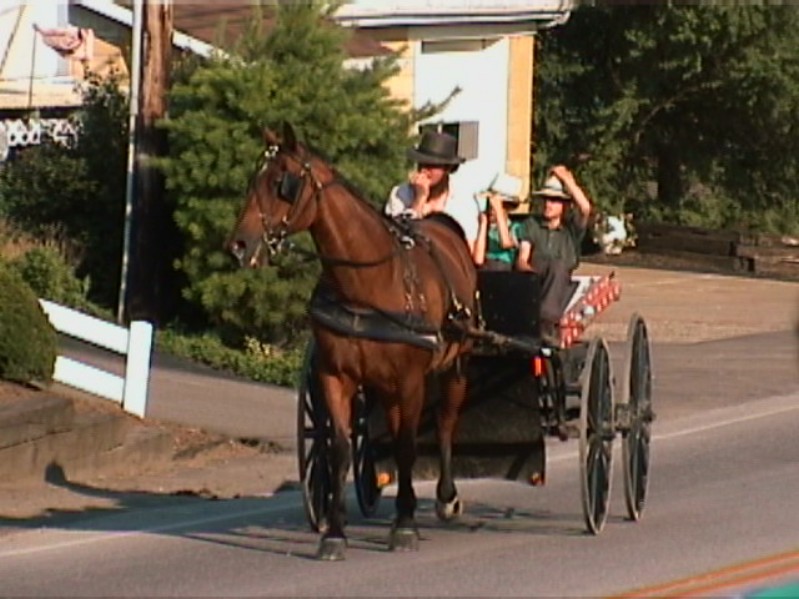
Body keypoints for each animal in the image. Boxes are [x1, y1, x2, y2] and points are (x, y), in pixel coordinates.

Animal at [225, 123, 478, 564]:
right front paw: (334, 532)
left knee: (446, 421)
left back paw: (444, 498)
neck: (367, 283)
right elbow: (340, 447)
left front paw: (405, 525)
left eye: (281, 183)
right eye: (255, 179)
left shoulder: (410, 380)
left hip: (453, 365)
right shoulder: (335, 375)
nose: (239, 246)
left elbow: (408, 446)